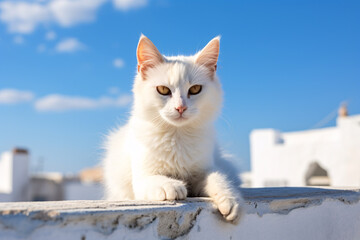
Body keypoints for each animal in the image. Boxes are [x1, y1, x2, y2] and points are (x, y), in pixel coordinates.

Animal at [104, 35, 245, 223]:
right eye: (163, 90)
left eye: (195, 89)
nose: (181, 108)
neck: (177, 136)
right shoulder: (142, 177)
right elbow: (154, 179)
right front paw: (171, 186)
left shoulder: (204, 169)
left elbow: (218, 177)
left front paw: (231, 199)